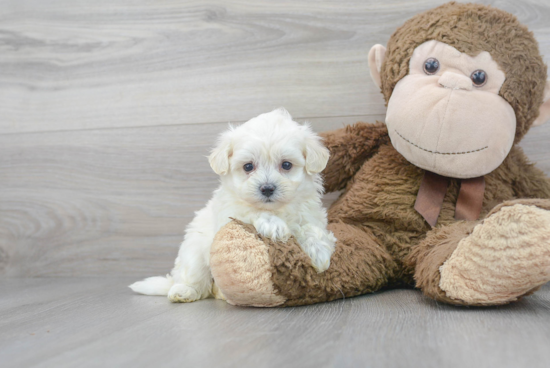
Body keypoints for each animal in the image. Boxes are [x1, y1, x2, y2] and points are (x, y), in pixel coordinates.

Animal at [130, 108, 336, 302]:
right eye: (248, 166)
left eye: (286, 165)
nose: (267, 188)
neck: (276, 209)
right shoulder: (228, 214)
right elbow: (250, 211)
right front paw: (273, 225)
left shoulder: (310, 215)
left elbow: (310, 228)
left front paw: (318, 251)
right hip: (193, 251)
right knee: (196, 279)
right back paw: (184, 291)